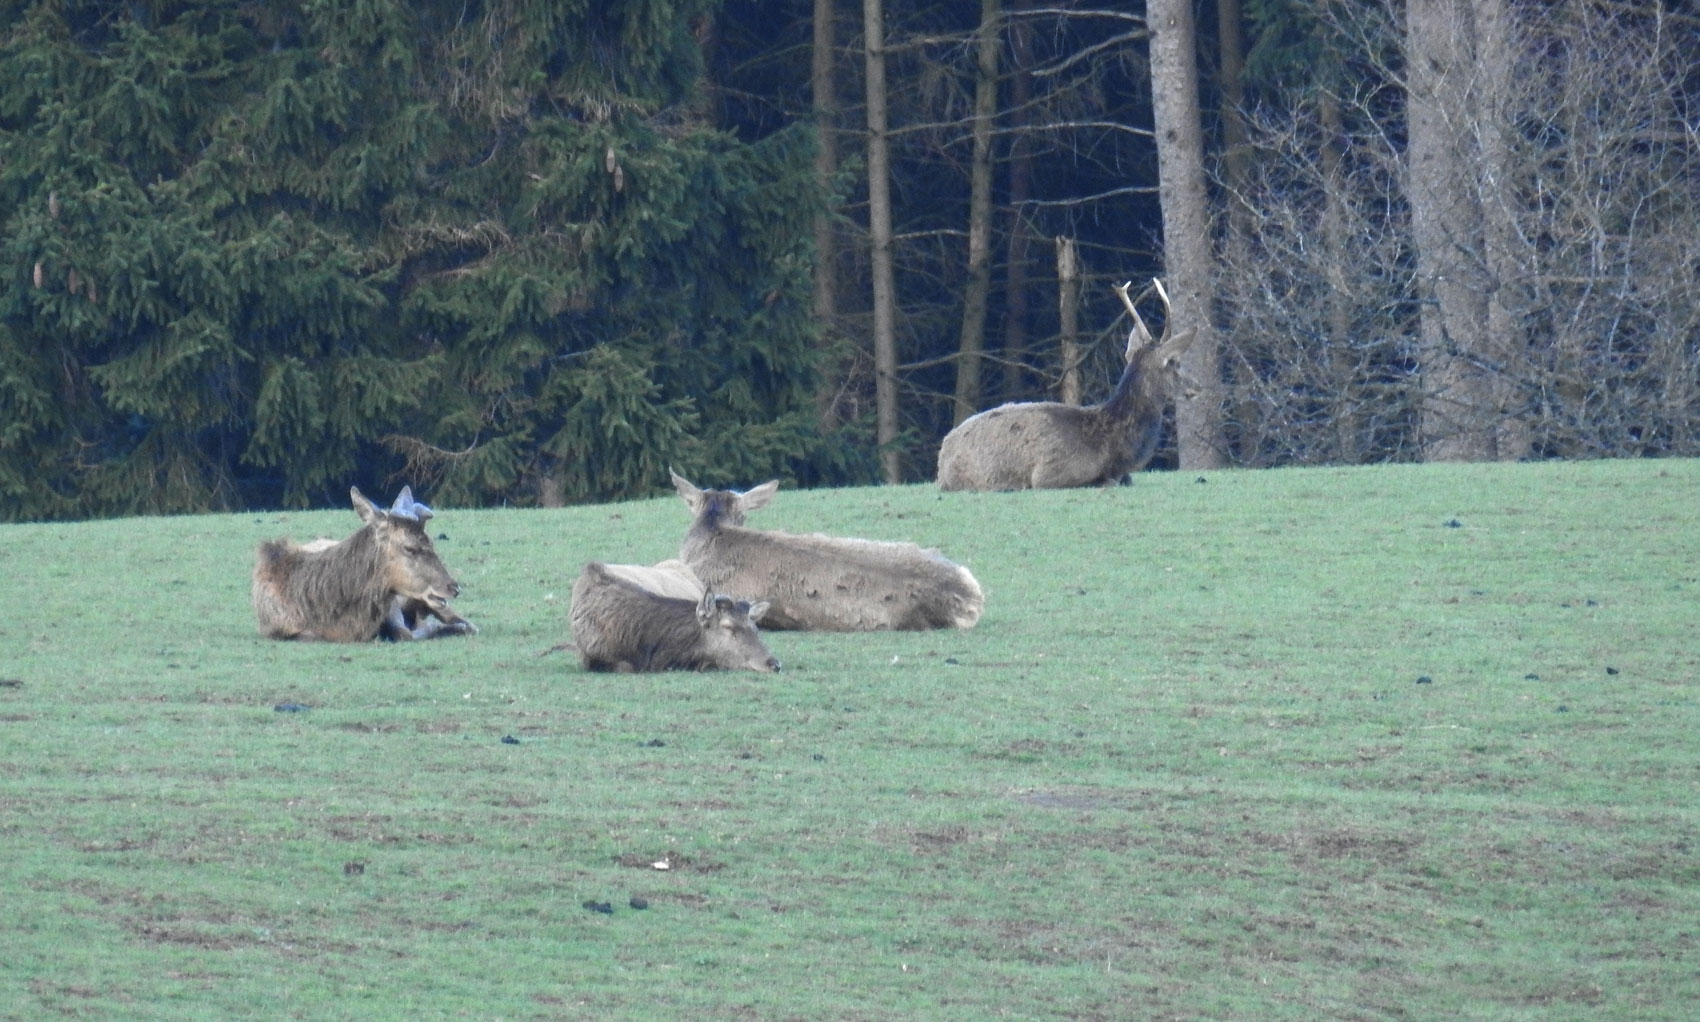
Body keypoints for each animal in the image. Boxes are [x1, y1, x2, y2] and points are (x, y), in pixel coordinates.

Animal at [938, 277, 1203, 489]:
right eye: (1174, 362)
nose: (1198, 387)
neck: (1113, 448)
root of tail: (941, 460)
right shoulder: (1049, 473)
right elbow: (1106, 481)